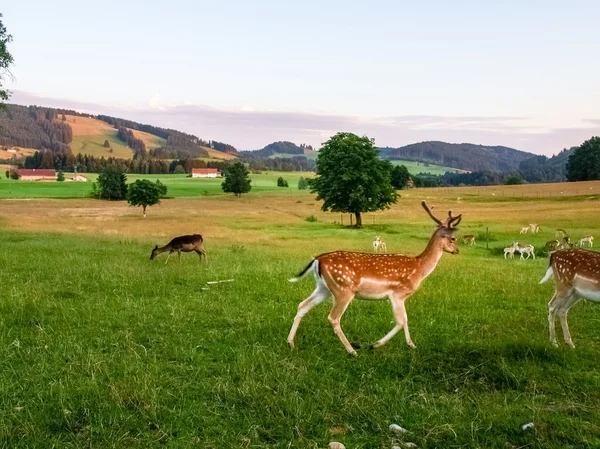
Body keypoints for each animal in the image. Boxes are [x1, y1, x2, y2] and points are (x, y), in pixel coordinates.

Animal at [288, 201, 462, 356]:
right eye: (453, 238)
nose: (457, 250)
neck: (419, 268)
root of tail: (318, 259)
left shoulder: (400, 297)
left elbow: (405, 320)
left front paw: (411, 345)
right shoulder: (397, 293)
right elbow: (401, 321)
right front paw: (375, 344)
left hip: (324, 288)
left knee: (302, 305)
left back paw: (290, 343)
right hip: (343, 289)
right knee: (333, 317)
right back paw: (352, 351)